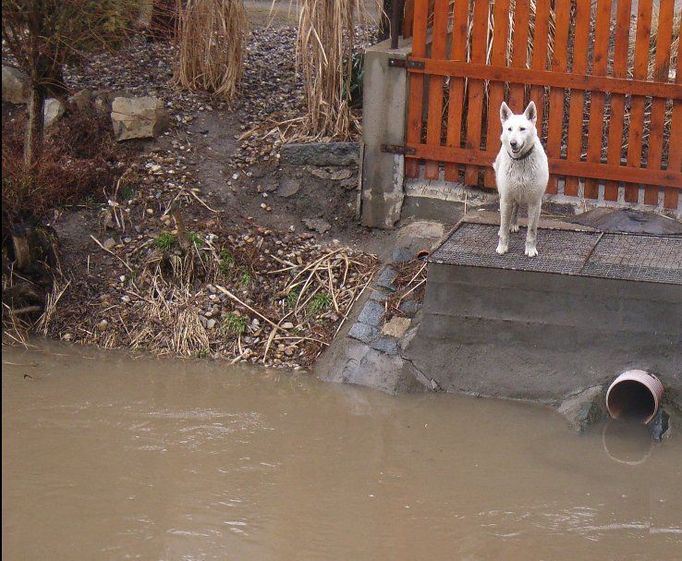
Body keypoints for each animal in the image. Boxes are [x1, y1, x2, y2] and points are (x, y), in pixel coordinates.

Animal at [488, 100, 548, 256]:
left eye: (522, 129)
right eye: (509, 129)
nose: (513, 143)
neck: (521, 160)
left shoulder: (535, 202)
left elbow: (532, 231)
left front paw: (530, 249)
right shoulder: (506, 199)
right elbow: (504, 228)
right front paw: (502, 247)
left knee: (516, 208)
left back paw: (514, 224)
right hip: (504, 194)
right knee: (509, 214)